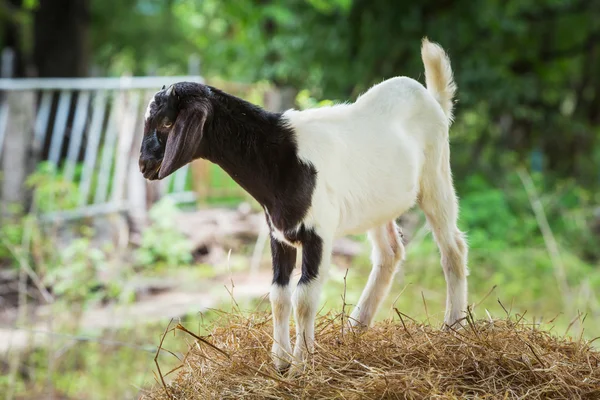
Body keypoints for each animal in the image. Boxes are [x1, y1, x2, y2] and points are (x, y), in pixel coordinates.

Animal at [139, 39, 468, 374]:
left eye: (167, 122)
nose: (144, 166)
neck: (283, 157)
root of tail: (432, 99)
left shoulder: (317, 234)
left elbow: (304, 297)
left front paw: (300, 365)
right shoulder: (279, 234)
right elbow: (278, 295)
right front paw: (279, 361)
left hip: (436, 175)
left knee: (452, 248)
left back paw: (453, 326)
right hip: (379, 204)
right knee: (390, 252)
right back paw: (355, 327)